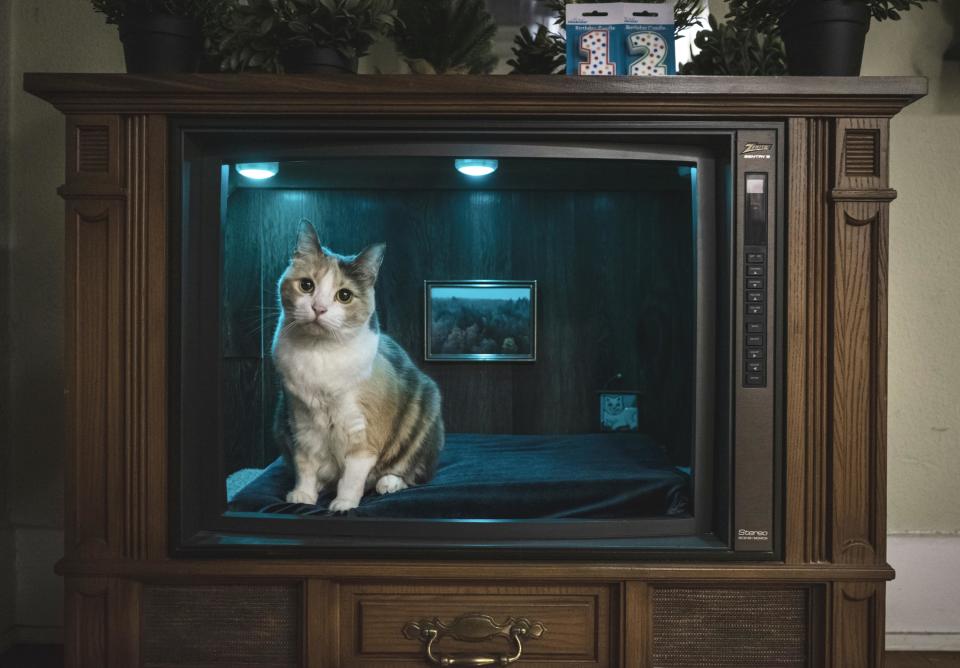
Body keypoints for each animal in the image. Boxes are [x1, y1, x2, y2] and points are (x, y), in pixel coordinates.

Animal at [272, 220, 444, 512]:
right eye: (306, 285)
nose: (318, 308)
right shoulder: (301, 421)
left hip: (425, 409)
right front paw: (303, 494)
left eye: (344, 295)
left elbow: (352, 474)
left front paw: (344, 503)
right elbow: (305, 464)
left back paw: (388, 483)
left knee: (411, 471)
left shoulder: (362, 430)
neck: (319, 353)